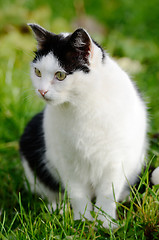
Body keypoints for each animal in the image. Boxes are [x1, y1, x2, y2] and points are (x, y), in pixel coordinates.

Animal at [19, 23, 148, 228]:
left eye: (60, 75)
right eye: (37, 72)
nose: (41, 91)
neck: (81, 106)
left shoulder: (115, 160)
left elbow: (107, 194)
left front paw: (106, 224)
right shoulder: (67, 161)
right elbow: (78, 194)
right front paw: (82, 221)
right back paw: (58, 209)